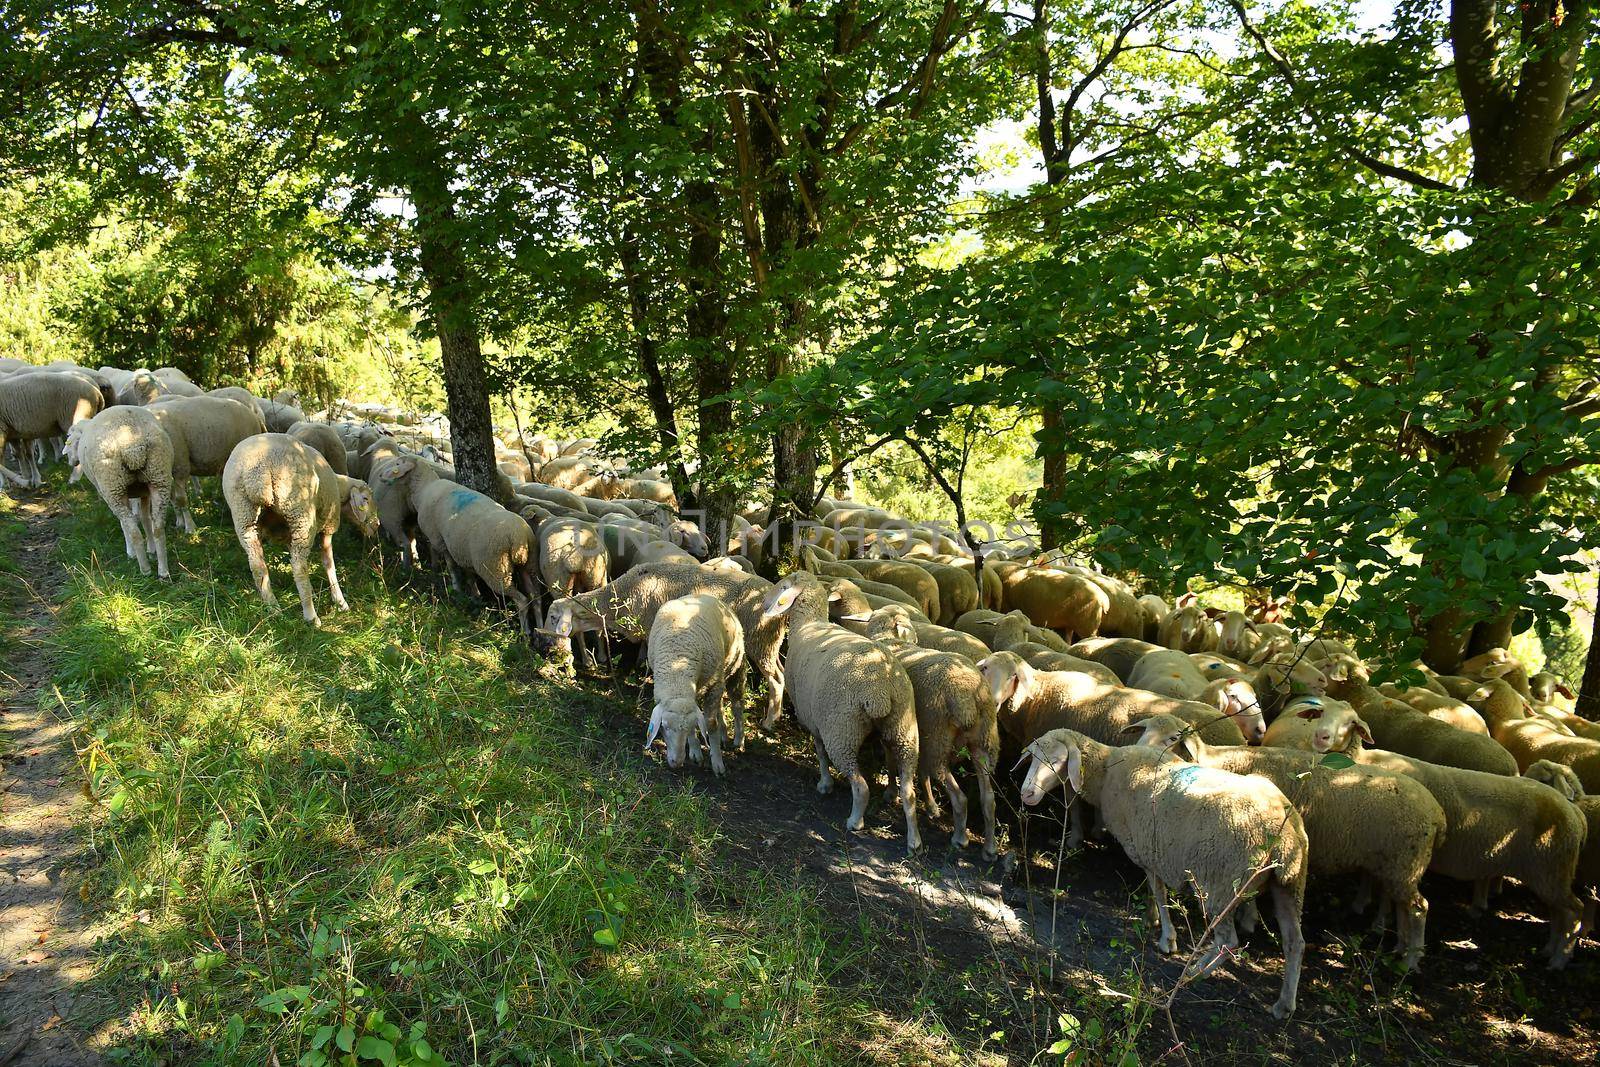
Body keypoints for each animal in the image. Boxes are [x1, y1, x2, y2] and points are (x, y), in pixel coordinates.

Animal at [761, 572, 928, 857]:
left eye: (783, 587)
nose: (763, 604)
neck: (809, 624)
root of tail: (881, 688)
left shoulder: (814, 718)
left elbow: (819, 751)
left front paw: (825, 784)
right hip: (905, 731)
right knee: (909, 791)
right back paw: (914, 841)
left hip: (842, 731)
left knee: (860, 785)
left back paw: (855, 821)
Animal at [1132, 713, 1446, 972]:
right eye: (1145, 728)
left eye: (1173, 738)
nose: (1139, 752)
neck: (1215, 761)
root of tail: (1437, 815)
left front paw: (1248, 919)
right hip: (1398, 867)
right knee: (1404, 905)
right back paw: (1400, 948)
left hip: (1403, 864)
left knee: (1420, 907)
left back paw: (1411, 959)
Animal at [1312, 700, 1587, 966]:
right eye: (1321, 711)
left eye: (1350, 722)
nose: (1321, 737)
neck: (1363, 761)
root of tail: (1574, 812)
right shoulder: (1377, 847)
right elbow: (1371, 881)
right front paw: (1364, 908)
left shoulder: (1391, 850)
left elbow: (1383, 892)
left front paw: (1377, 922)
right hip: (1551, 873)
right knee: (1558, 912)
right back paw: (1549, 950)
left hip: (1550, 868)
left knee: (1573, 911)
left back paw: (1559, 959)